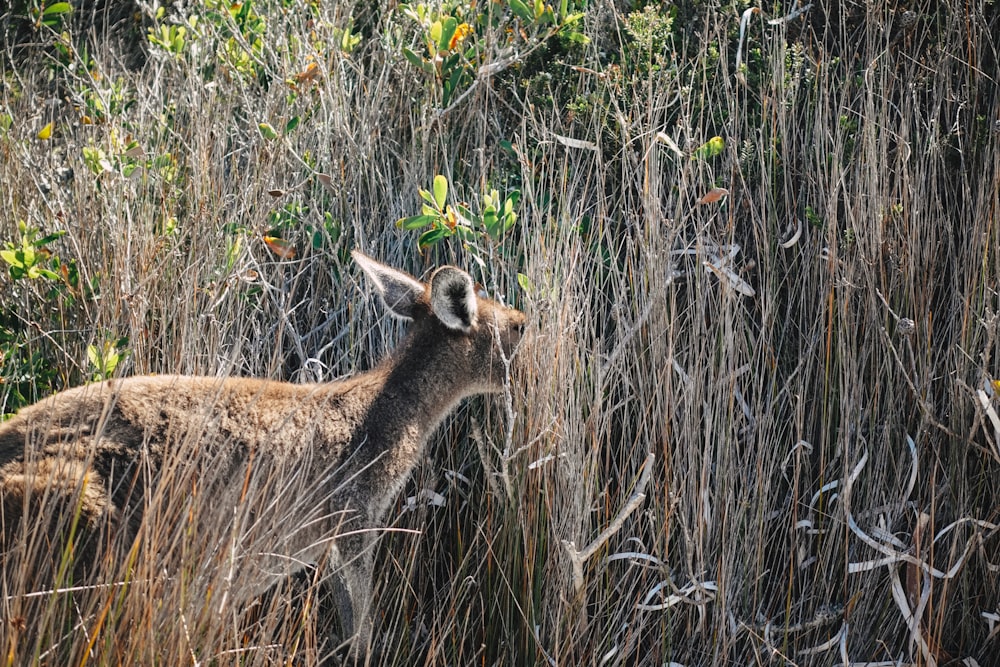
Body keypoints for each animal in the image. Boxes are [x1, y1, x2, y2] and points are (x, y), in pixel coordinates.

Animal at [0, 252, 528, 664]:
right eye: (519, 330)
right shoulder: (354, 515)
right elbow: (360, 618)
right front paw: (362, 654)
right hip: (86, 522)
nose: (532, 335)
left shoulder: (328, 536)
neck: (386, 411)